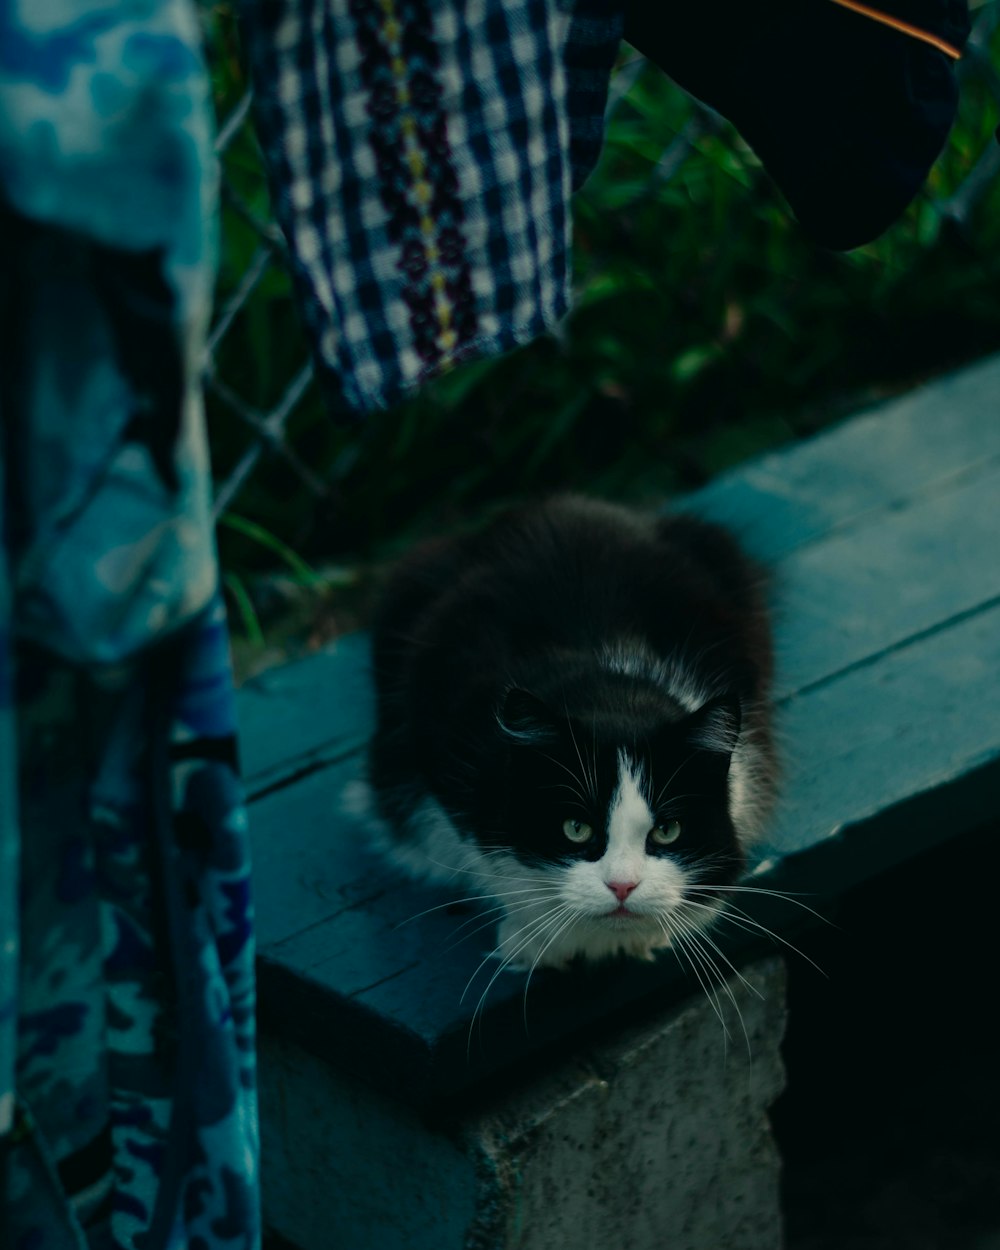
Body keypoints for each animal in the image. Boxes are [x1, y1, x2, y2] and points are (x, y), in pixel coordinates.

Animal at [362, 492, 775, 970]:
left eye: (667, 831)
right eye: (575, 829)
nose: (622, 887)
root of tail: (548, 501)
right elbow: (494, 859)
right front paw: (540, 938)